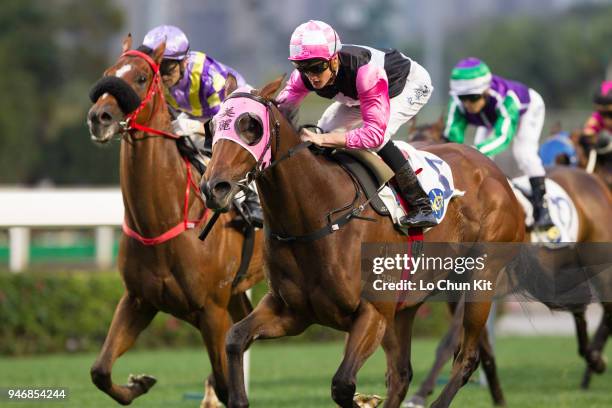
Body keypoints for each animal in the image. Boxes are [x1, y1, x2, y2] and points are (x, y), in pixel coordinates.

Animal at [85, 35, 262, 408]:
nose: (99, 117)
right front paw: (139, 383)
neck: (159, 221)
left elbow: (224, 383)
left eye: (140, 78)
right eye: (108, 74)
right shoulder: (138, 300)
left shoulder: (210, 311)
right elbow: (100, 370)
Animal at [201, 77, 524, 408]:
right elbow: (234, 339)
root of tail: (494, 172)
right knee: (401, 374)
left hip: (478, 280)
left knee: (466, 357)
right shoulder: (290, 312)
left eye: (251, 125)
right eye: (211, 125)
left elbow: (342, 385)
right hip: (408, 305)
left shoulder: (373, 312)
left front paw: (364, 399)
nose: (215, 187)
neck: (316, 215)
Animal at [404, 119, 612, 406]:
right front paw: (498, 398)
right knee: (580, 309)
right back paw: (592, 359)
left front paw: (420, 393)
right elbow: (484, 350)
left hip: (598, 266)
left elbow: (449, 342)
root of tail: (593, 181)